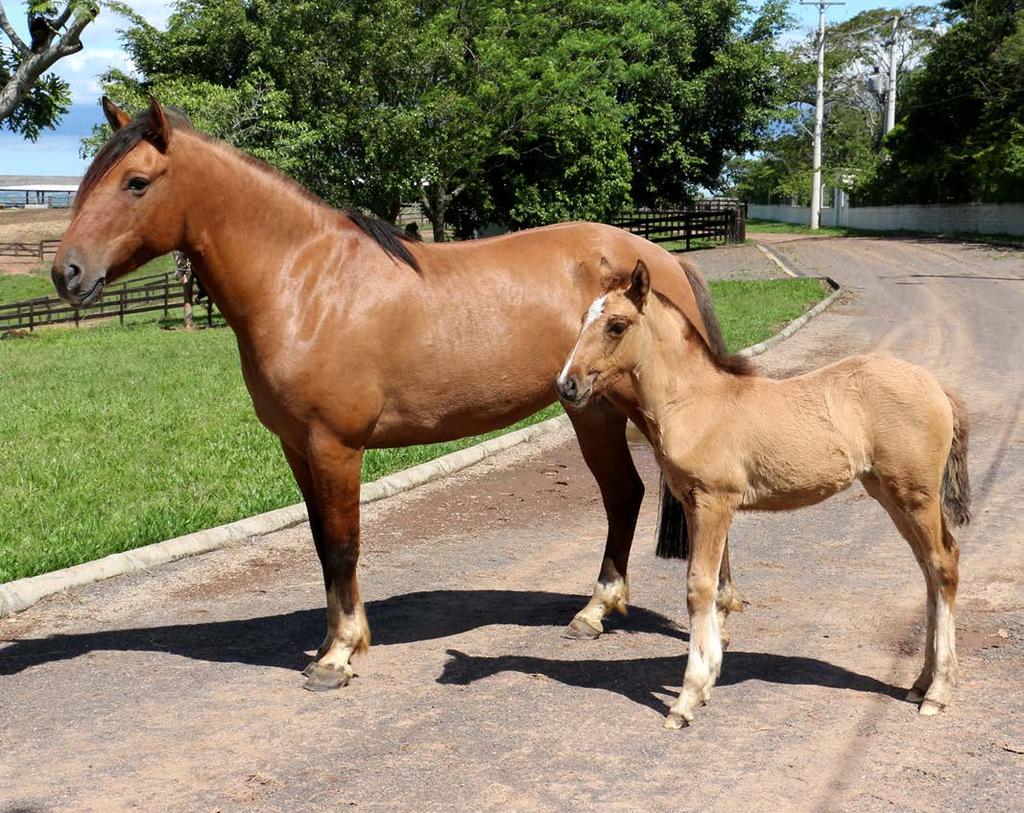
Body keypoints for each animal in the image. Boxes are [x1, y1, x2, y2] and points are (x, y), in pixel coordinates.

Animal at [54, 98, 737, 688]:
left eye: (136, 182)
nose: (67, 273)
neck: (305, 283)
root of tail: (660, 258)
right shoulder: (297, 449)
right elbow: (322, 545)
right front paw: (335, 642)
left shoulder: (335, 446)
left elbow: (342, 543)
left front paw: (338, 656)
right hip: (591, 410)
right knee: (631, 495)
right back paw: (606, 614)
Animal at [557, 261, 970, 729]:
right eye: (583, 320)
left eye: (616, 325)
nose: (566, 385)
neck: (695, 402)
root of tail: (936, 386)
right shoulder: (695, 504)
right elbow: (714, 587)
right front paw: (707, 682)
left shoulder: (714, 501)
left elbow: (699, 587)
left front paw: (686, 699)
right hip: (890, 494)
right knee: (928, 569)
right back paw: (920, 681)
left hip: (916, 495)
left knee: (943, 564)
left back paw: (937, 691)